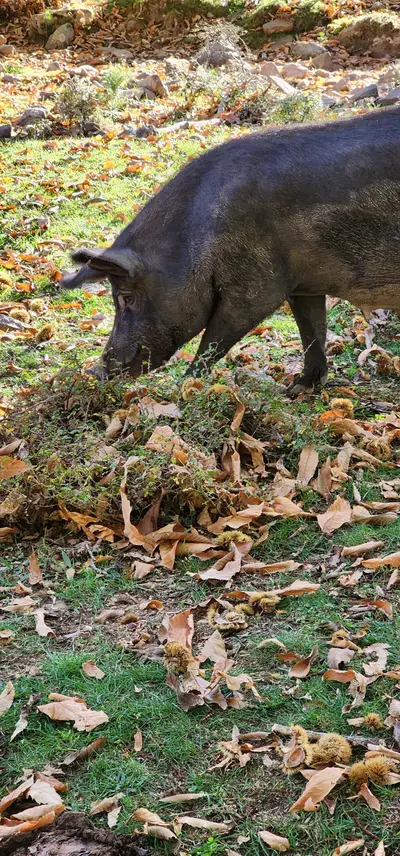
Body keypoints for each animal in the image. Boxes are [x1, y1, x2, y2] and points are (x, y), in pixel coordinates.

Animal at [61, 106, 400, 394]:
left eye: (127, 298)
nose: (97, 371)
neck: (197, 239)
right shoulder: (302, 285)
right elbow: (311, 331)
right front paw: (296, 390)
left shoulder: (256, 288)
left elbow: (213, 341)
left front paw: (186, 388)